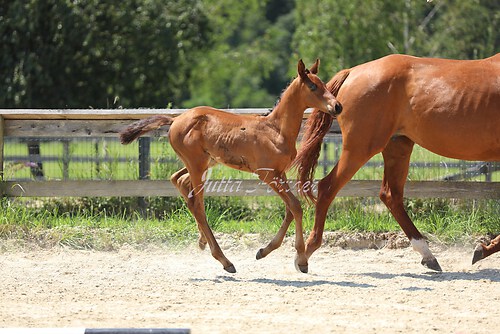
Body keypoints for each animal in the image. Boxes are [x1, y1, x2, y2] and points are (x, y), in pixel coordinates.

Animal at [120, 59, 344, 274]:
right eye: (313, 86)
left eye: (325, 84)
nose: (337, 106)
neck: (276, 130)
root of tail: (175, 120)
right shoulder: (268, 175)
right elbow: (296, 207)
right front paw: (301, 259)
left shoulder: (280, 173)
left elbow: (290, 209)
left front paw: (264, 251)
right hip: (197, 165)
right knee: (198, 205)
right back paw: (225, 261)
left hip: (204, 163)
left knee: (179, 181)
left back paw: (203, 242)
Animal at [292, 52, 500, 272]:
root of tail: (352, 72)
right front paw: (483, 249)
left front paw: (483, 249)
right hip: (360, 148)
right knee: (327, 187)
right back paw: (304, 255)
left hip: (397, 147)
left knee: (390, 196)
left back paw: (428, 255)